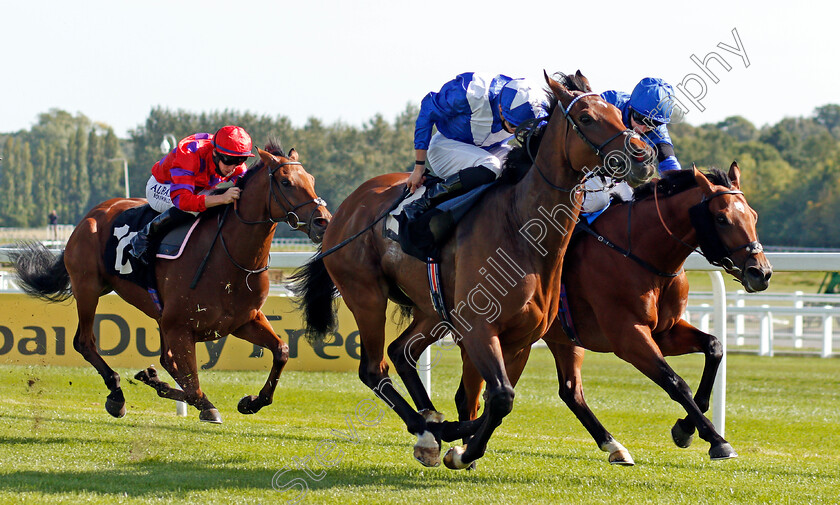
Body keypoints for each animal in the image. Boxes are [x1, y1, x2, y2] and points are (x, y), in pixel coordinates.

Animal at [13, 145, 328, 422]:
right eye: (286, 182)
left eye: (312, 180)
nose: (323, 221)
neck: (229, 255)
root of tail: (92, 215)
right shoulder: (180, 326)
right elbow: (193, 386)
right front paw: (206, 406)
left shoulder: (242, 321)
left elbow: (281, 351)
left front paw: (251, 402)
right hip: (88, 287)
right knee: (85, 341)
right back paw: (116, 395)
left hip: (148, 307)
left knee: (165, 359)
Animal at [292, 71, 660, 468]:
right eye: (587, 118)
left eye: (619, 114)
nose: (643, 156)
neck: (520, 228)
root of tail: (342, 213)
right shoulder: (479, 329)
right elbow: (499, 397)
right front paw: (460, 446)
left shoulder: (520, 338)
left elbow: (498, 399)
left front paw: (459, 441)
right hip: (366, 296)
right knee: (374, 369)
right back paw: (426, 430)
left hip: (432, 310)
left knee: (401, 352)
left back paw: (430, 426)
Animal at [446, 162, 776, 464]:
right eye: (722, 218)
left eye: (754, 216)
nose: (761, 272)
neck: (641, 253)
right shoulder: (627, 335)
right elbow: (674, 381)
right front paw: (715, 439)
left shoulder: (664, 332)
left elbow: (714, 347)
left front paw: (686, 428)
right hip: (492, 337)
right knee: (472, 395)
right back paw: (461, 446)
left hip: (556, 339)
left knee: (568, 391)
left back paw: (613, 446)